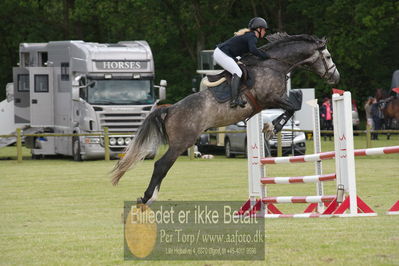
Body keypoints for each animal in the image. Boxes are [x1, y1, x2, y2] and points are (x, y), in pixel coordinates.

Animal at [111, 32, 340, 204]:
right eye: (328, 57)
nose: (335, 77)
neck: (274, 64)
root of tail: (170, 109)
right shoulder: (270, 98)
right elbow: (293, 106)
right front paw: (272, 127)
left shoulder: (271, 101)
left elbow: (295, 103)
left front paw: (270, 127)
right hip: (181, 142)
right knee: (161, 166)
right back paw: (146, 197)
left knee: (163, 167)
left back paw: (152, 197)